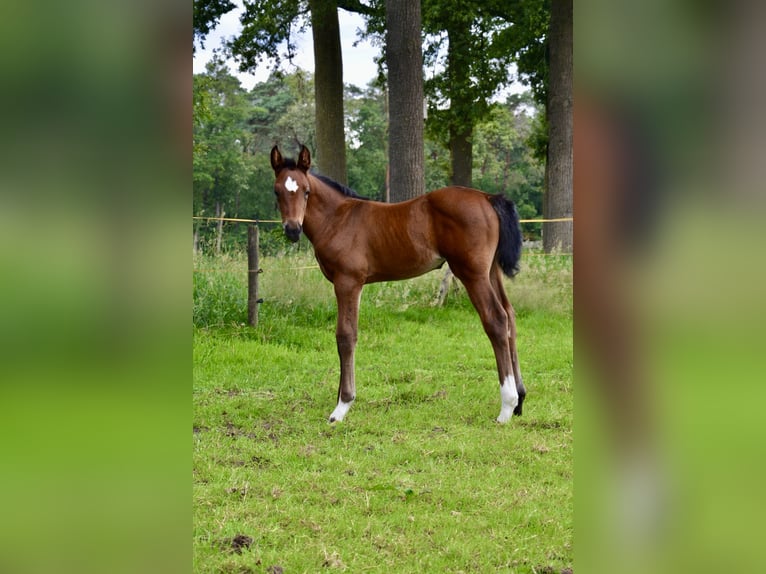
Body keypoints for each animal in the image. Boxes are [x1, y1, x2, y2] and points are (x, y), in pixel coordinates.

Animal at [270, 146, 528, 426]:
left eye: (306, 191)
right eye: (277, 191)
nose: (292, 229)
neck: (337, 218)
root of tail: (488, 197)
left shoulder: (348, 281)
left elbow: (346, 336)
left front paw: (342, 406)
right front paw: (340, 397)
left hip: (472, 273)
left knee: (496, 319)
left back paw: (506, 407)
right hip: (491, 271)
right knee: (510, 316)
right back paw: (520, 400)